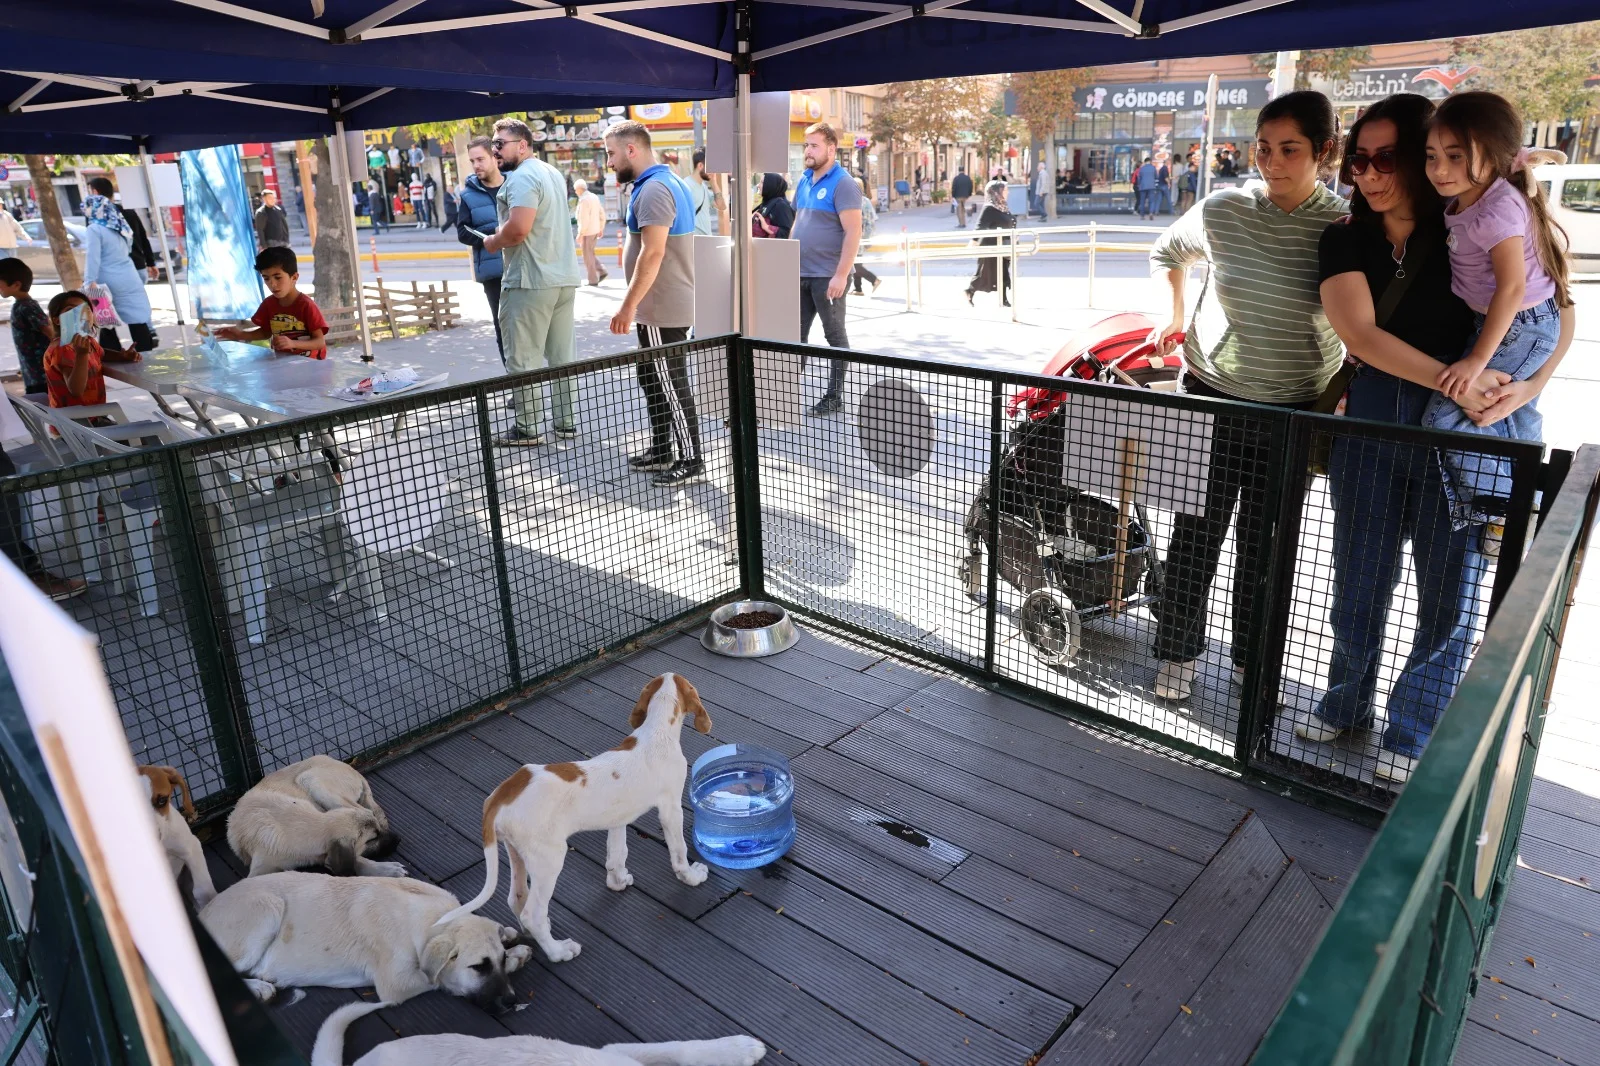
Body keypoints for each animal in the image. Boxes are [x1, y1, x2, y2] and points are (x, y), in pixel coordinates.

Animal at [200, 870, 531, 1011]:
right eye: (479, 967)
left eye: (497, 960)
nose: (512, 1001)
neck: (429, 919)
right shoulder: (396, 984)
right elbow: (439, 979)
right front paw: (517, 955)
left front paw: (511, 941)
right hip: (265, 909)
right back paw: (259, 988)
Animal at [438, 672, 713, 960]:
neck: (656, 732)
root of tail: (502, 793)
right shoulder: (671, 808)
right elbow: (679, 851)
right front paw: (691, 877)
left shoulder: (618, 819)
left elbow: (617, 854)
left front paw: (617, 881)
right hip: (549, 859)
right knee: (533, 914)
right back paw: (558, 951)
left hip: (516, 851)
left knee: (517, 898)